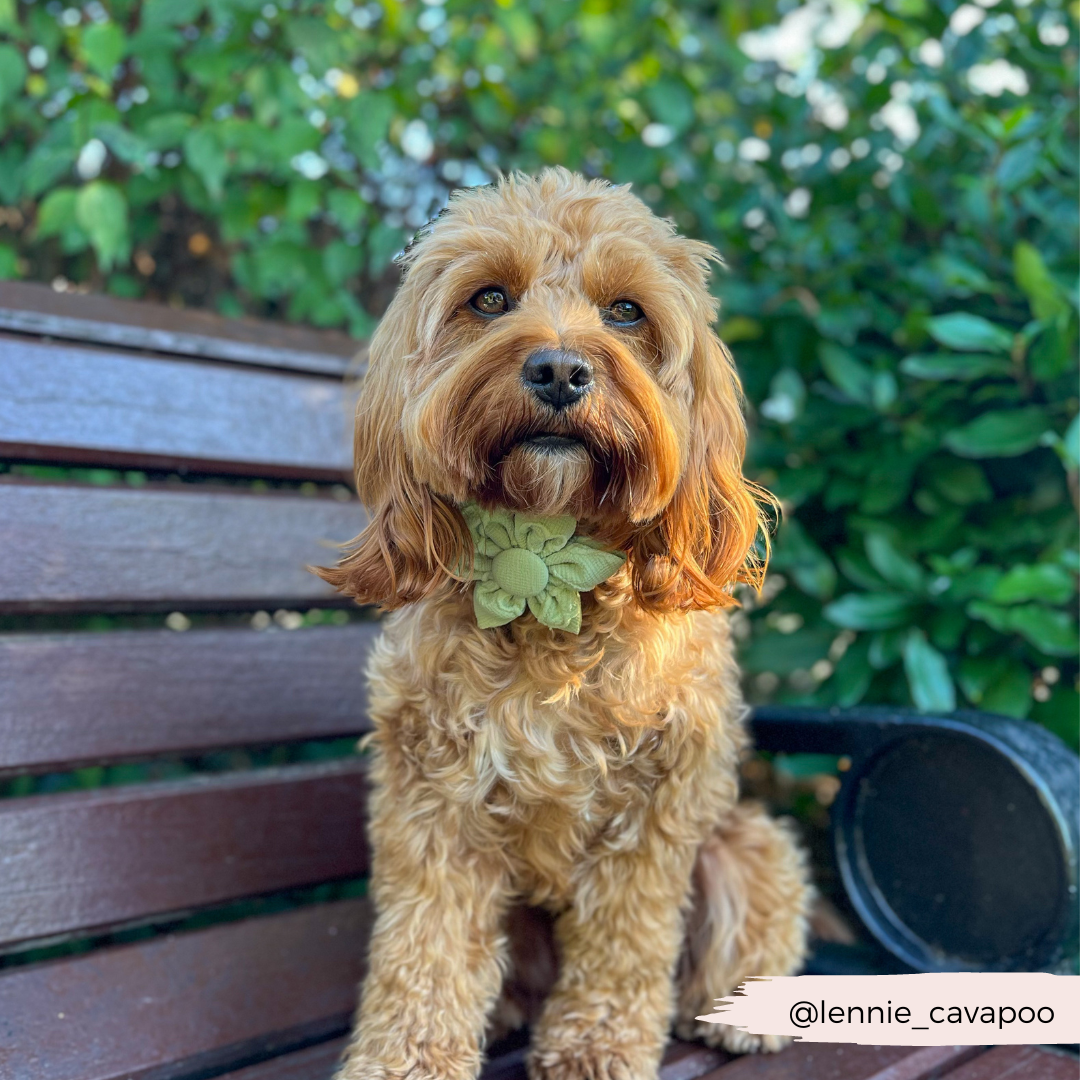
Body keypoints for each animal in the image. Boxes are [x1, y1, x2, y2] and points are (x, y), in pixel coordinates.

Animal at [317, 168, 812, 1080]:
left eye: (626, 311)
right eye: (488, 298)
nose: (557, 368)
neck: (544, 561)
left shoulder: (657, 809)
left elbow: (625, 944)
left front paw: (596, 1046)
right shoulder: (430, 803)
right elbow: (424, 949)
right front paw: (404, 1058)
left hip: (745, 840)